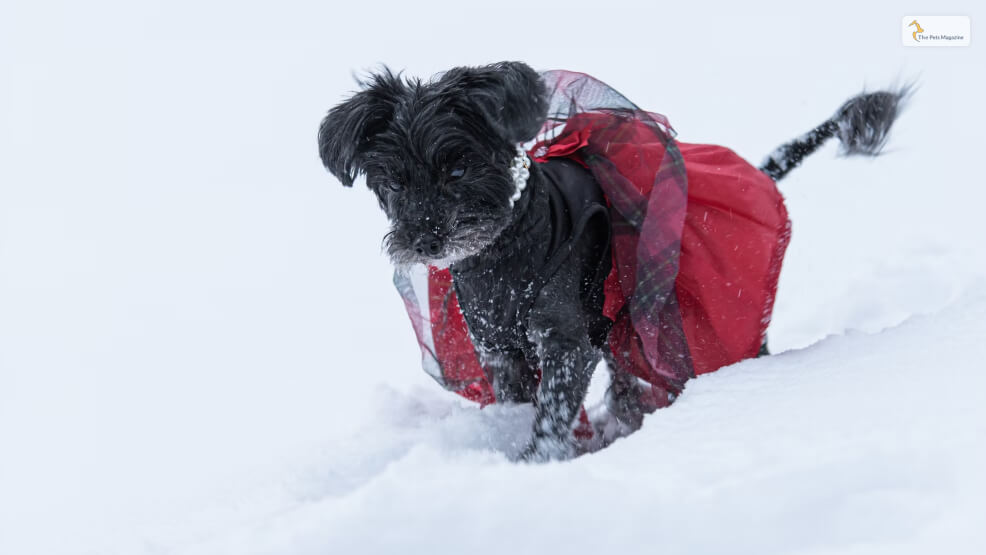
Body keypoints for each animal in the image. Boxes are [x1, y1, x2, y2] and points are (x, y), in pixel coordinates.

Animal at [318, 62, 908, 460]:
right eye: (394, 183)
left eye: (458, 170)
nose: (425, 240)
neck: (505, 250)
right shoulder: (499, 350)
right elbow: (520, 403)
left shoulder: (564, 341)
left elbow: (552, 412)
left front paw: (535, 463)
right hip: (620, 326)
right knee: (625, 380)